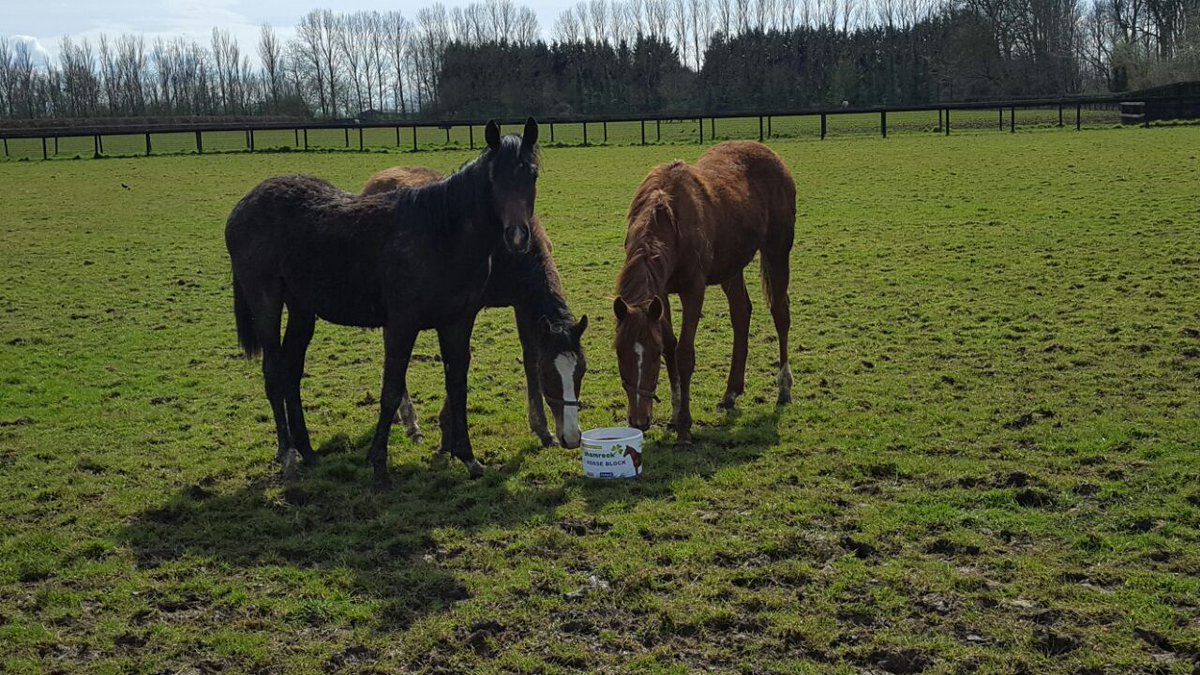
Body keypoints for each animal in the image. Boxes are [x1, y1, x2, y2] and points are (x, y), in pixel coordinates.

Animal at [225, 119, 540, 483]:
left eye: (532, 174)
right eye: (493, 178)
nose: (517, 236)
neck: (442, 234)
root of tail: (244, 205)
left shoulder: (457, 322)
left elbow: (457, 384)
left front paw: (468, 458)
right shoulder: (401, 324)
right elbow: (390, 391)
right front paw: (379, 463)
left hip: (302, 308)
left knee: (291, 370)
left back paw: (308, 451)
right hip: (266, 301)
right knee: (274, 372)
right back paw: (287, 454)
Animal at [361, 167, 588, 449]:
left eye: (582, 370)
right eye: (548, 373)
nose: (572, 437)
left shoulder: (523, 305)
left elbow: (529, 356)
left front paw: (542, 430)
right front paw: (447, 429)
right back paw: (411, 422)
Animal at [612, 141, 795, 445]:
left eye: (652, 355)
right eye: (619, 352)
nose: (639, 420)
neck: (670, 219)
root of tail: (773, 156)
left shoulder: (693, 289)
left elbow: (685, 354)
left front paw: (685, 427)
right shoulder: (661, 294)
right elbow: (672, 347)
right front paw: (674, 416)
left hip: (777, 251)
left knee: (780, 315)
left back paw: (784, 388)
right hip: (732, 267)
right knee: (741, 314)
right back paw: (731, 392)